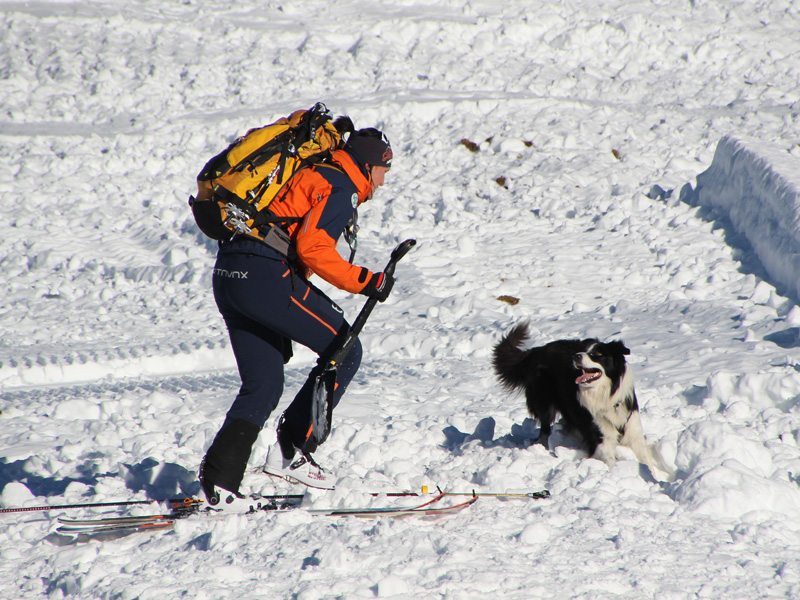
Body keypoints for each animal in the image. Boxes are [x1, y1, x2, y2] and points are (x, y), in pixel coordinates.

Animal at [494, 322, 668, 476]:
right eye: (583, 351)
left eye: (598, 355)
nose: (576, 356)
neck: (605, 394)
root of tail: (535, 351)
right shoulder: (599, 436)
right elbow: (610, 459)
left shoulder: (633, 430)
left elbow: (645, 461)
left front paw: (653, 478)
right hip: (544, 402)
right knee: (544, 428)